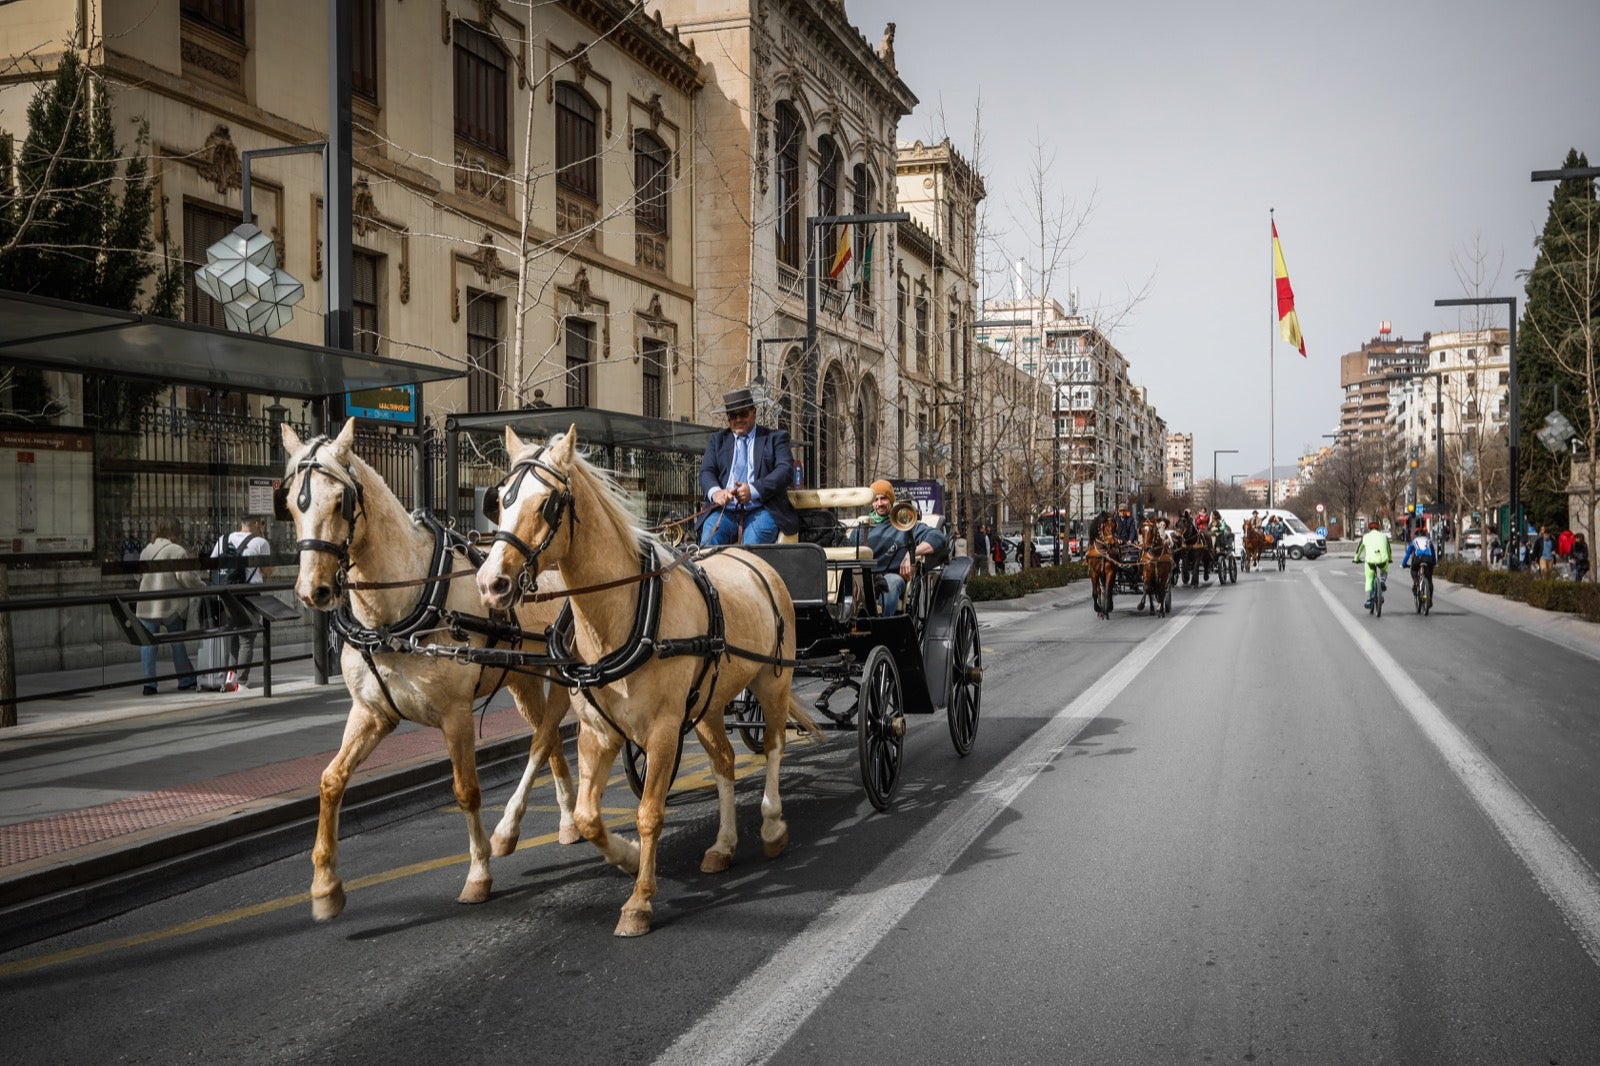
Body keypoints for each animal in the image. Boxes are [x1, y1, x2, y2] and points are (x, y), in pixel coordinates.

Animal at [280, 419, 582, 915]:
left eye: (341, 500)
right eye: (289, 503)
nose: (313, 590)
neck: (403, 605)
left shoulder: (455, 715)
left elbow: (466, 790)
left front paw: (478, 873)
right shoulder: (371, 712)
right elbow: (330, 780)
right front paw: (325, 885)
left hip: (561, 674)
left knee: (546, 737)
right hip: (522, 680)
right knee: (550, 737)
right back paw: (568, 820)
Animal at [470, 422, 825, 928]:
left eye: (548, 504)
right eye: (500, 501)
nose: (491, 583)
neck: (623, 614)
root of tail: (754, 558)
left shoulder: (662, 730)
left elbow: (649, 813)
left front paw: (639, 900)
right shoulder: (598, 732)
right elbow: (588, 816)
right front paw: (628, 856)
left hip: (772, 681)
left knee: (774, 746)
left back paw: (773, 826)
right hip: (710, 702)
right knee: (724, 763)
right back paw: (723, 845)